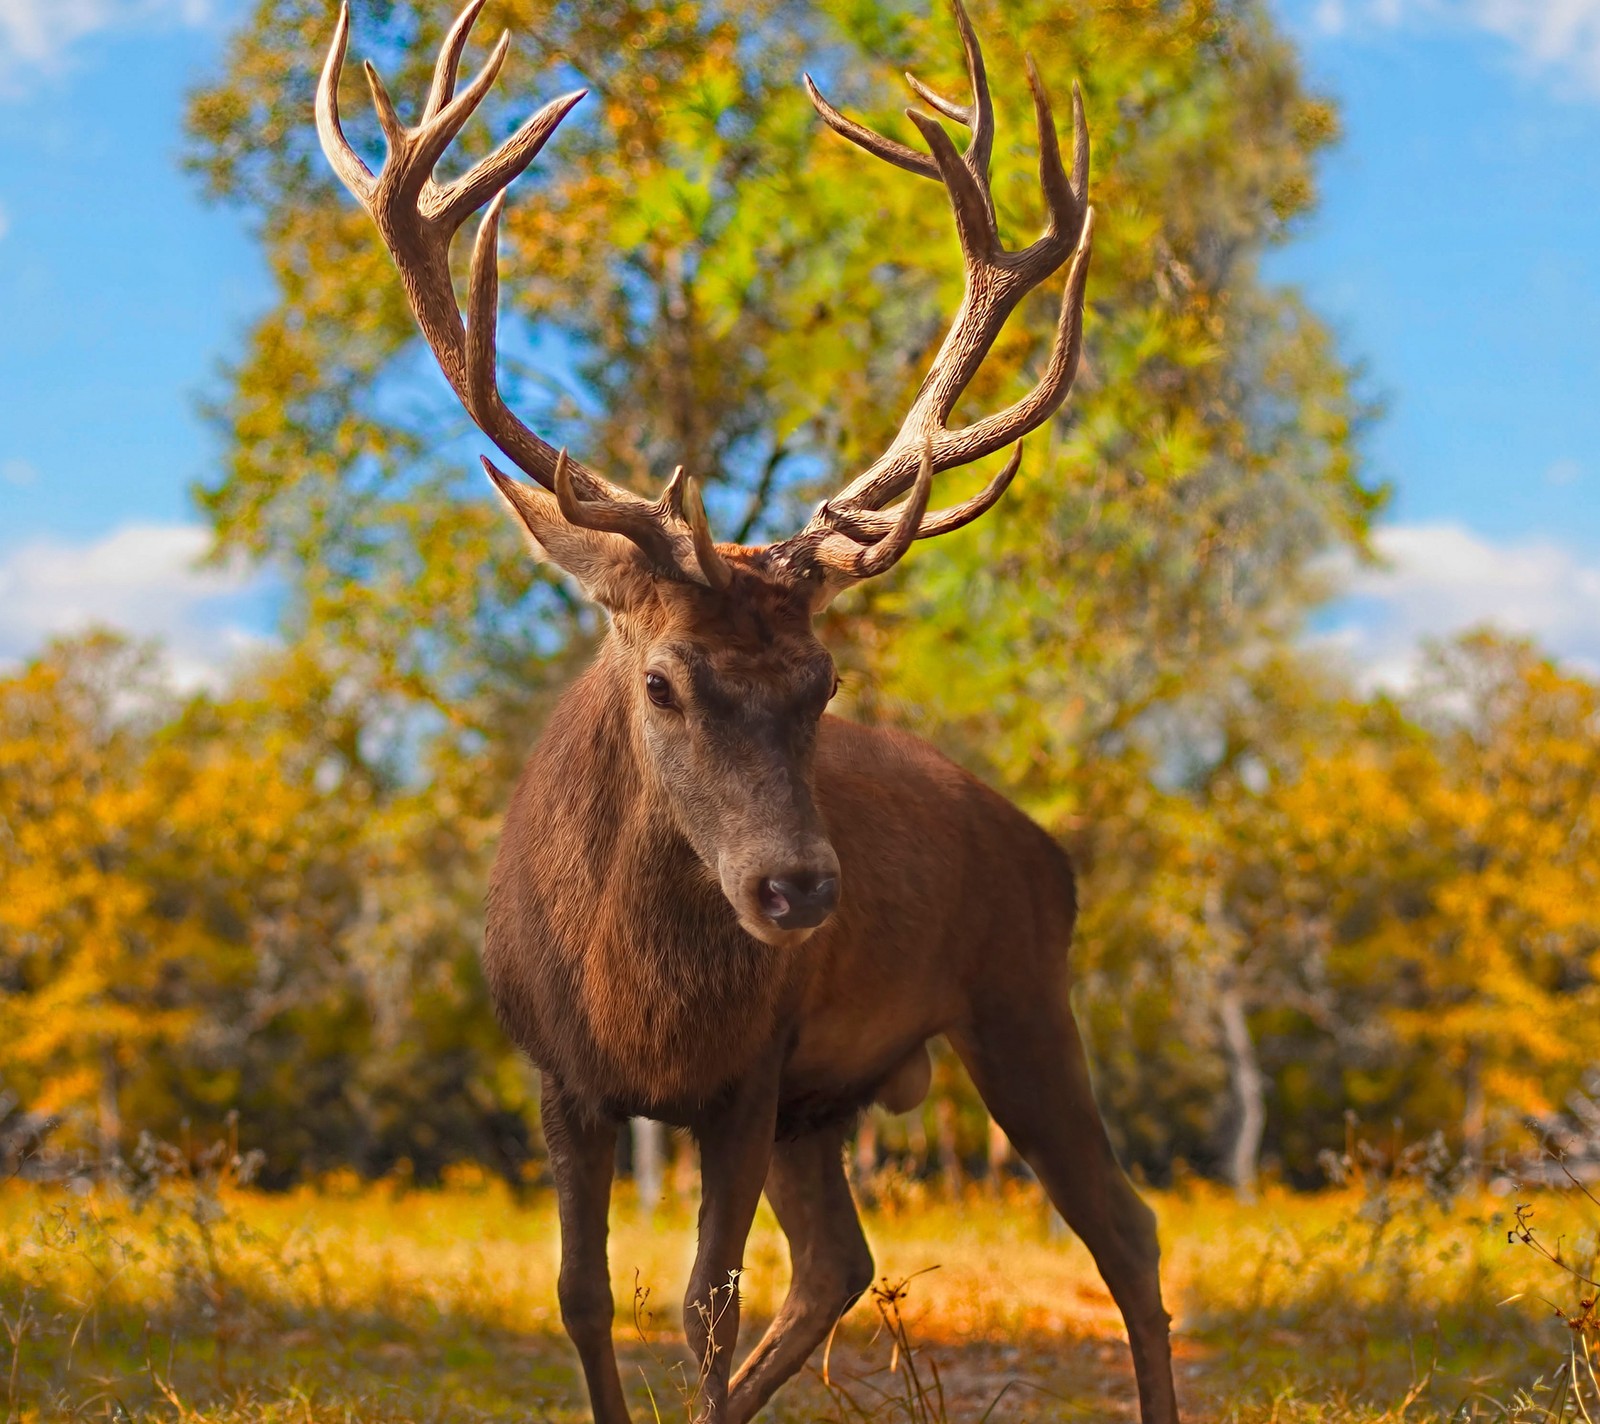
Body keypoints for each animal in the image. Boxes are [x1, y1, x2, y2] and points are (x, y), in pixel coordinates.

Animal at [318, 0, 1184, 1414]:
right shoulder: (559, 1072)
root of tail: (1047, 848)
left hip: (1020, 999)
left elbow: (702, 1309)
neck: (638, 1004)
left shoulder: (747, 1072)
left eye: (823, 683)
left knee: (1124, 1225)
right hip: (828, 1104)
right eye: (663, 678)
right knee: (840, 1261)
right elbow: (583, 1294)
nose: (796, 888)